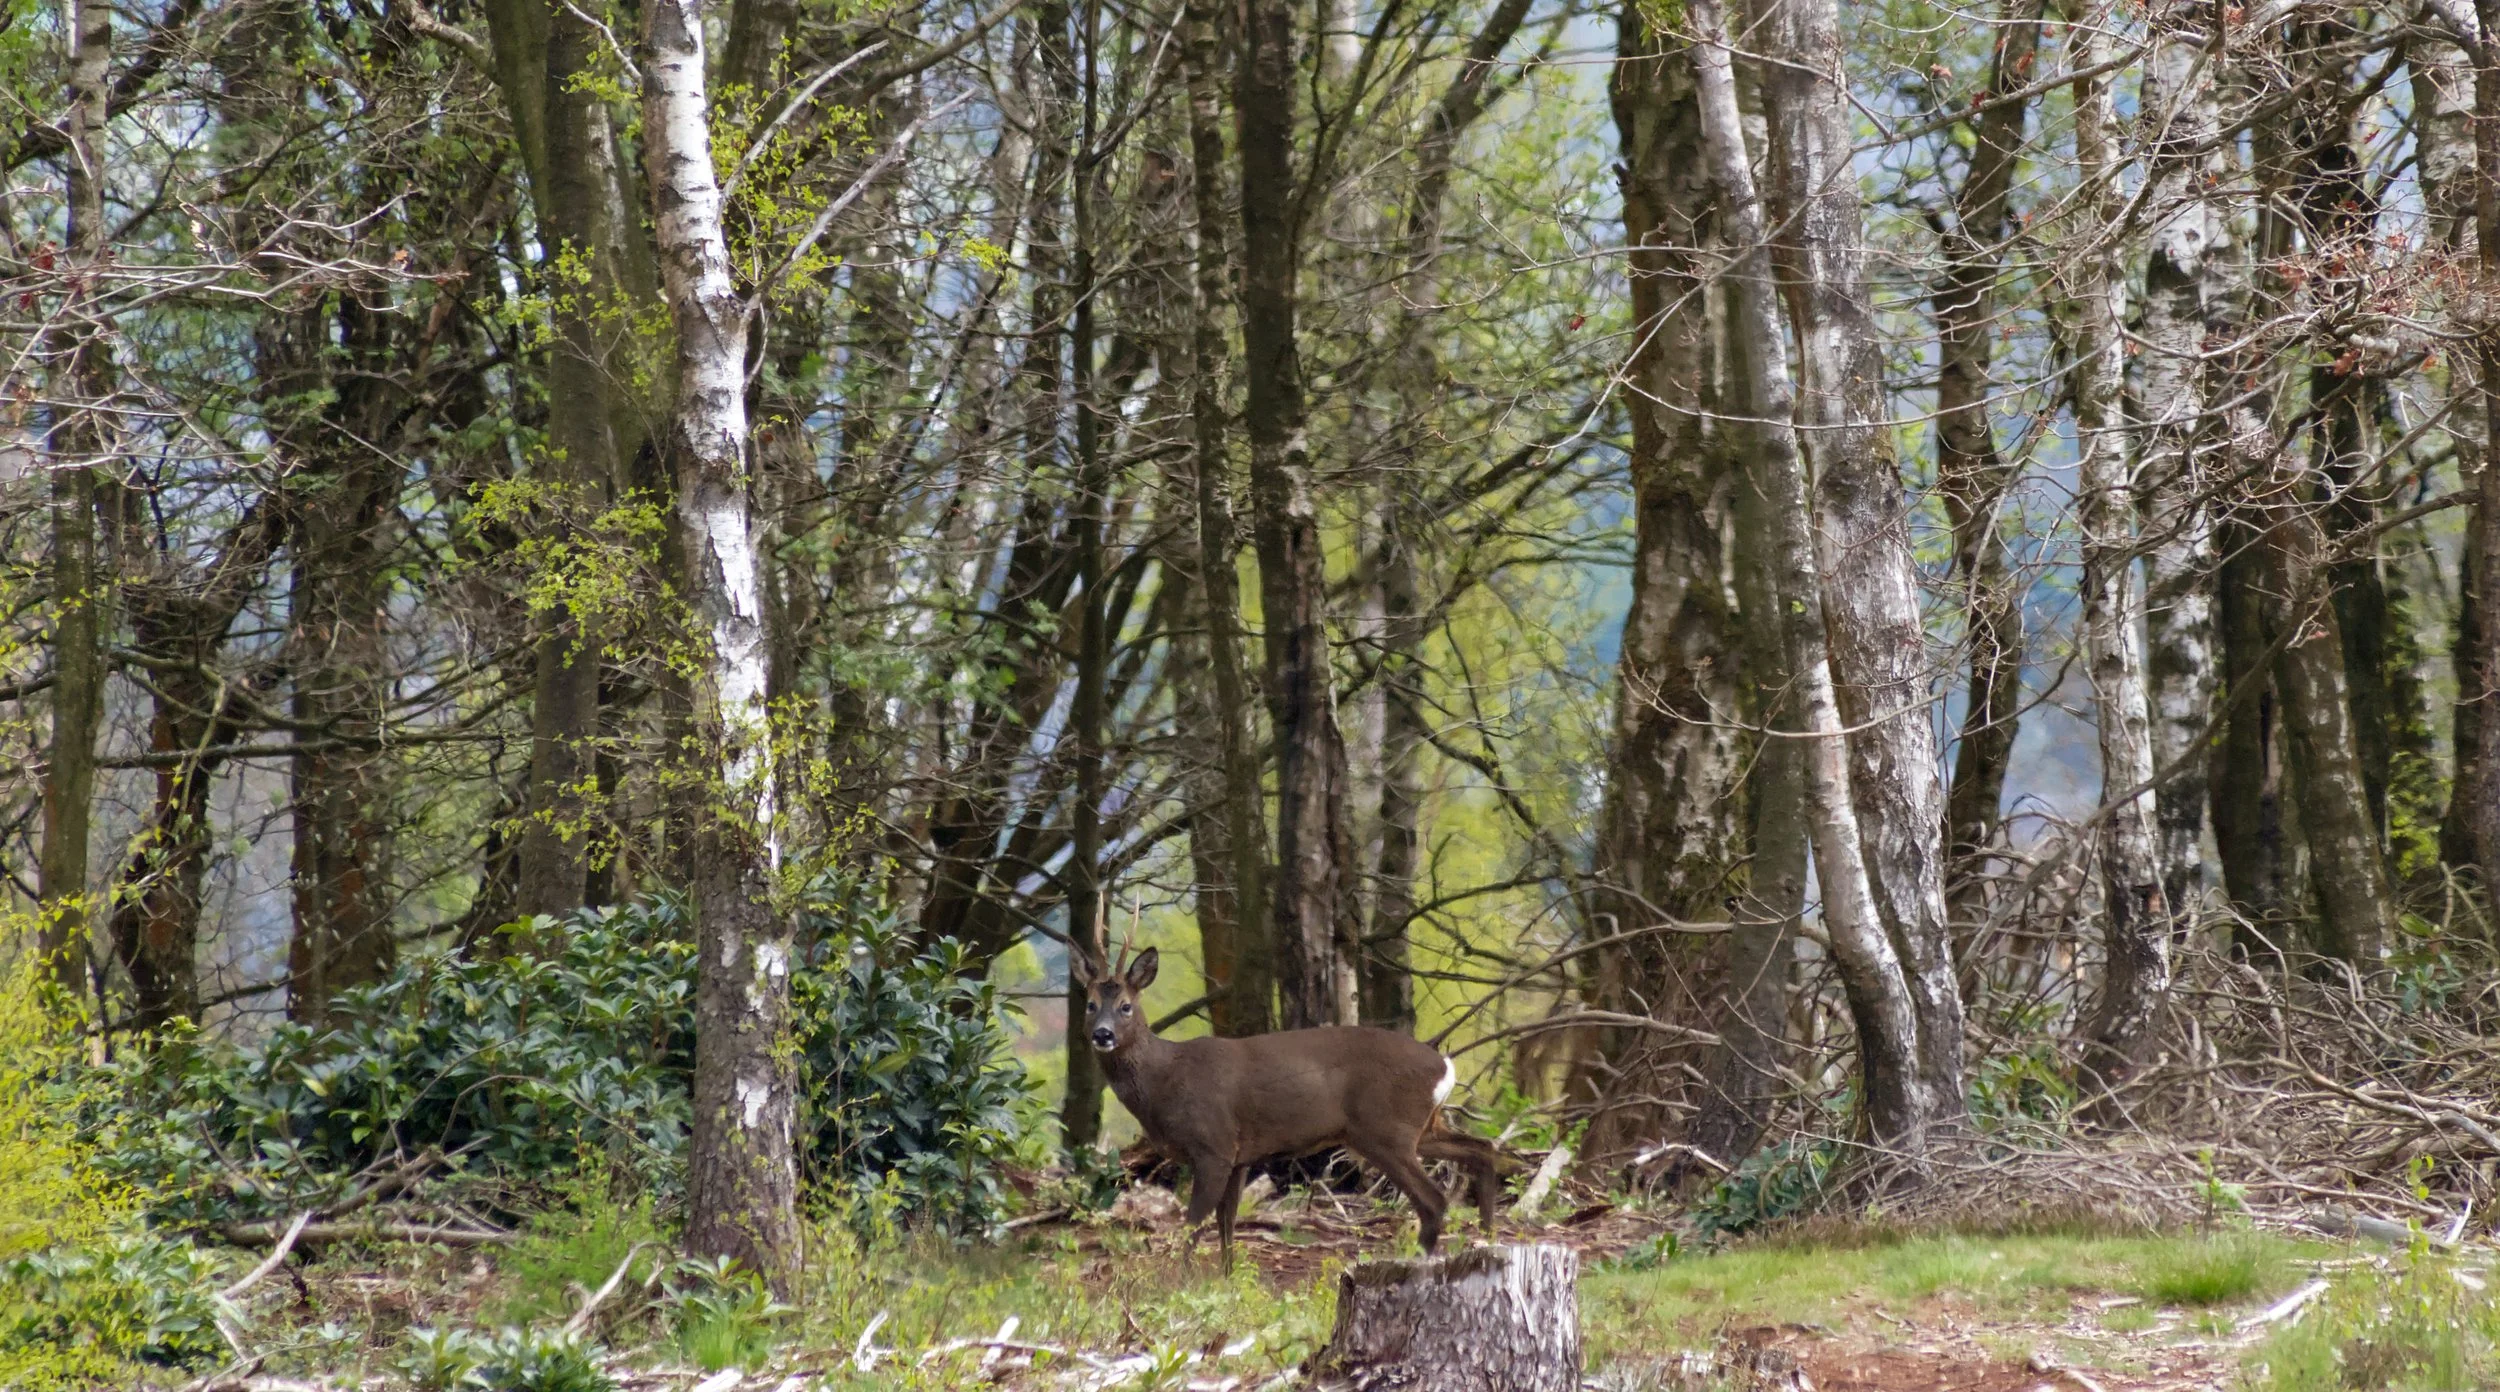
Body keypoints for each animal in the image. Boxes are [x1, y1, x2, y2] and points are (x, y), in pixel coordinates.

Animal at [1072, 941, 1506, 1267]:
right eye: (1090, 1004)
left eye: (1126, 1005)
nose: (1102, 1035)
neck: (1164, 1079)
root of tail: (1445, 1064)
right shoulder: (1240, 1155)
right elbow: (1226, 1225)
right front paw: (1226, 1282)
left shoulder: (1213, 1145)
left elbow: (1193, 1226)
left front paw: (1177, 1284)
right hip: (1422, 1127)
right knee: (1483, 1148)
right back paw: (1486, 1239)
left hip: (1385, 1130)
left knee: (1434, 1199)